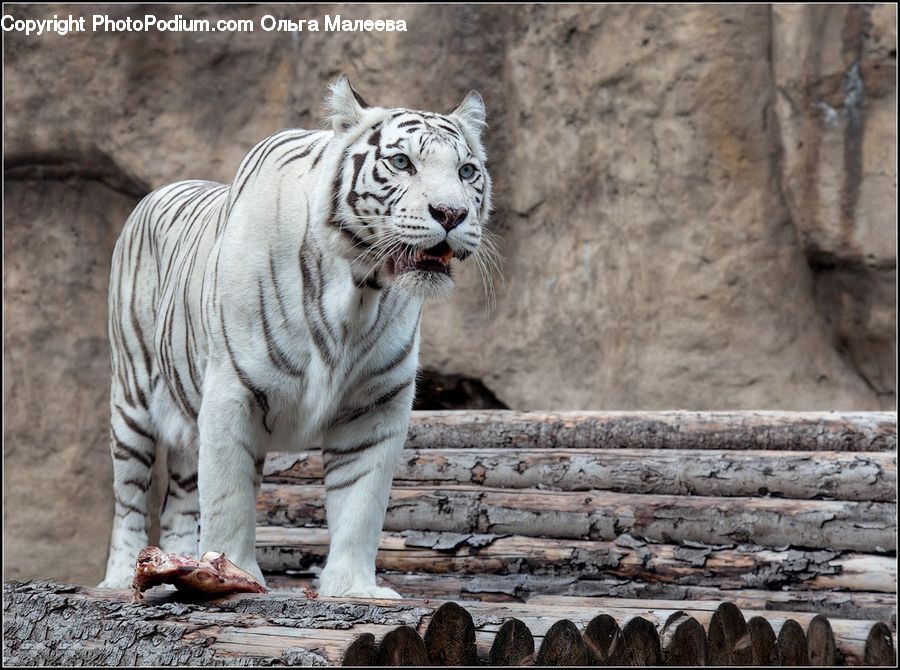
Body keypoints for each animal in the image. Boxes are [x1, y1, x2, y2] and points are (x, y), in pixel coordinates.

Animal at [99, 75, 494, 598]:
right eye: (401, 162)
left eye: (467, 170)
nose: (451, 213)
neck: (359, 292)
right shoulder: (231, 392)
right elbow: (229, 498)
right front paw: (230, 573)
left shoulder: (377, 405)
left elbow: (361, 505)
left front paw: (352, 587)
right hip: (131, 397)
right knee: (129, 495)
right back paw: (122, 575)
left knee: (180, 497)